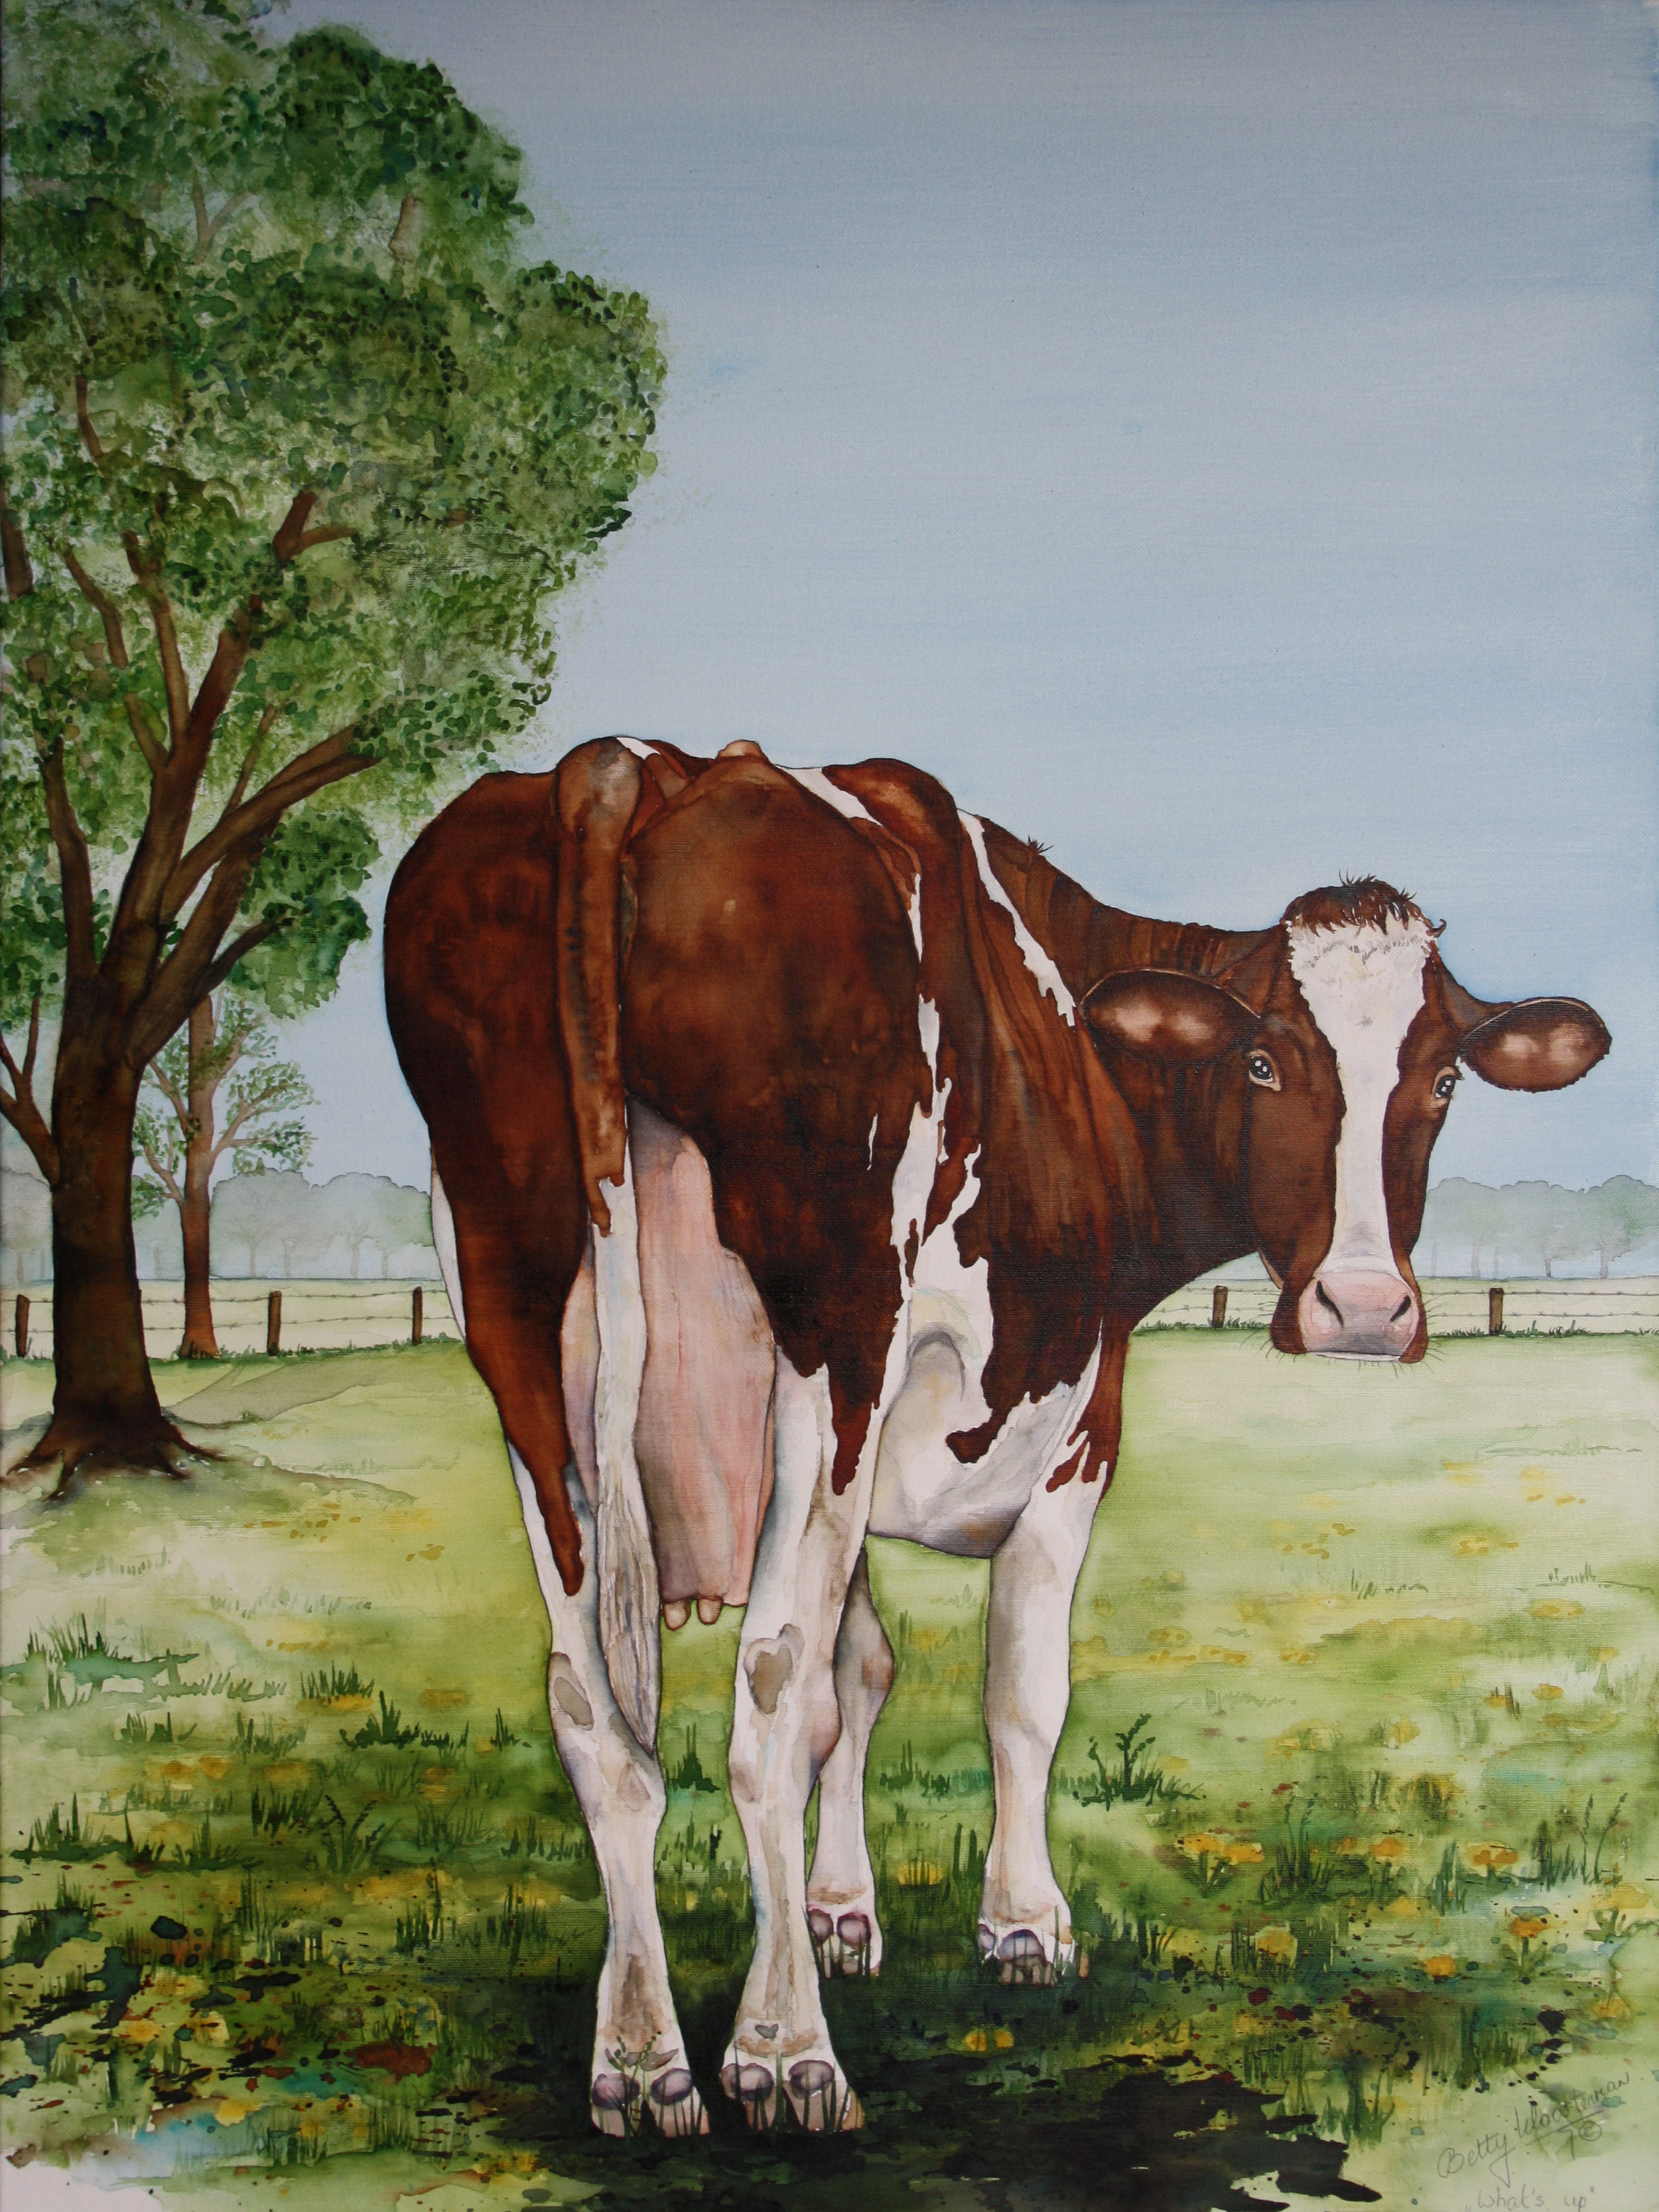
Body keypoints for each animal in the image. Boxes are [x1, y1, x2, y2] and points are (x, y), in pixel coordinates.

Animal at [383, 737, 1608, 2138]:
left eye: (1444, 1075)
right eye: (1263, 1064)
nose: (1362, 1308)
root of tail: (633, 766)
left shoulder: (839, 1464)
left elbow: (858, 1679)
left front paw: (842, 1912)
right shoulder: (1073, 1424)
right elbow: (1014, 1690)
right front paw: (1022, 1926)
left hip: (513, 1305)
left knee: (596, 1708)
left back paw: (640, 2056)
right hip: (832, 1312)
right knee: (764, 1687)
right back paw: (781, 2052)